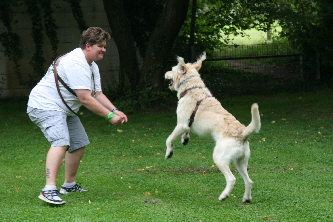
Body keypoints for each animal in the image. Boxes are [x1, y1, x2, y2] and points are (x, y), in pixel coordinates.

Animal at [165, 52, 260, 203]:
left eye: (173, 69)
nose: (165, 73)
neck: (192, 88)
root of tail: (243, 133)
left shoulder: (180, 124)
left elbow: (169, 139)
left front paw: (169, 152)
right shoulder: (186, 125)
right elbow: (187, 131)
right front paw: (185, 139)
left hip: (220, 158)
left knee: (232, 179)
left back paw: (224, 195)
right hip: (240, 162)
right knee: (249, 181)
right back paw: (246, 198)